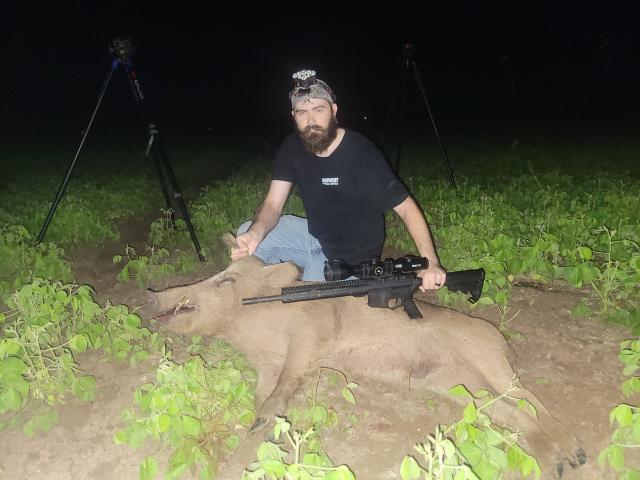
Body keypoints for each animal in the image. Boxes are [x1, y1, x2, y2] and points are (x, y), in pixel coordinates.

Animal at [147, 237, 585, 479]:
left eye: (228, 280)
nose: (153, 294)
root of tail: (502, 341)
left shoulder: (311, 335)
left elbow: (290, 375)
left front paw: (261, 422)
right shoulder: (266, 365)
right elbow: (265, 391)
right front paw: (263, 425)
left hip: (488, 360)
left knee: (530, 399)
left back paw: (573, 457)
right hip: (457, 386)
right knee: (511, 411)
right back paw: (560, 463)